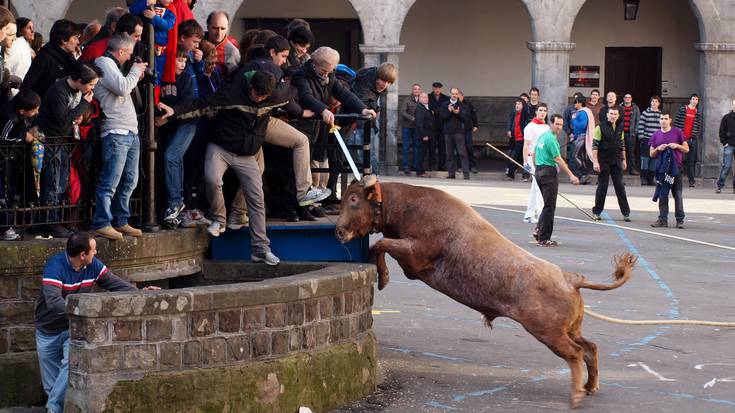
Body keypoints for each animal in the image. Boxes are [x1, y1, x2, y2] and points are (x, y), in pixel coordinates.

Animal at [336, 175, 636, 408]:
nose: (339, 231)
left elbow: (380, 244)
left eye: (354, 200)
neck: (410, 204)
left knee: (575, 353)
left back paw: (576, 396)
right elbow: (380, 245)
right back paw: (590, 387)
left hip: (548, 332)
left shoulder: (415, 256)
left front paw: (384, 278)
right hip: (570, 329)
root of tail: (570, 278)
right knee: (590, 348)